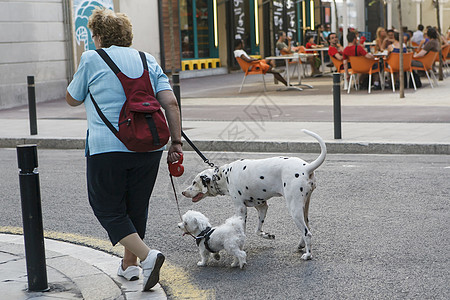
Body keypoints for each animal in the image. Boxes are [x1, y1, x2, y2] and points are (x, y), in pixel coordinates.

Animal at [181, 129, 326, 260]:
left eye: (194, 182)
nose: (183, 192)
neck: (224, 175)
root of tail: (306, 168)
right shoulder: (262, 207)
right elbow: (257, 230)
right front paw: (267, 235)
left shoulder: (241, 209)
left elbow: (243, 230)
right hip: (304, 209)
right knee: (306, 229)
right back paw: (301, 245)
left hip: (294, 209)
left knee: (307, 233)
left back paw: (308, 255)